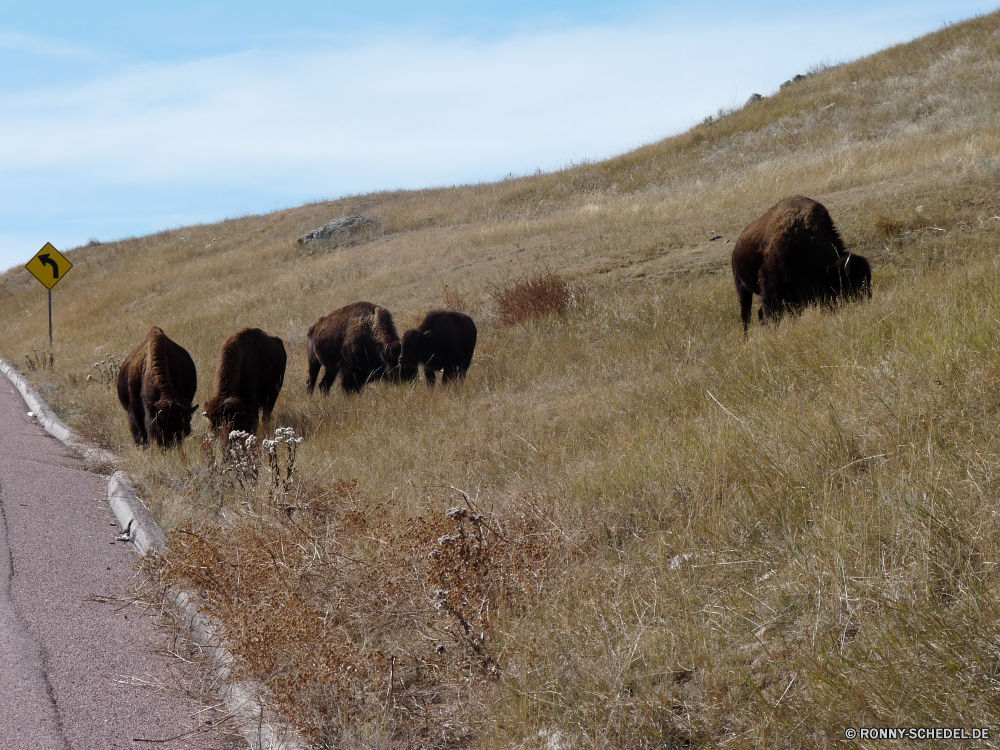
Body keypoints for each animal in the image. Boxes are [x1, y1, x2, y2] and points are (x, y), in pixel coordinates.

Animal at [732, 195, 872, 334]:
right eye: (850, 285)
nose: (867, 302)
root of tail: (737, 245)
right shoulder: (771, 286)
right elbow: (773, 314)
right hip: (742, 288)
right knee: (746, 316)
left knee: (759, 314)